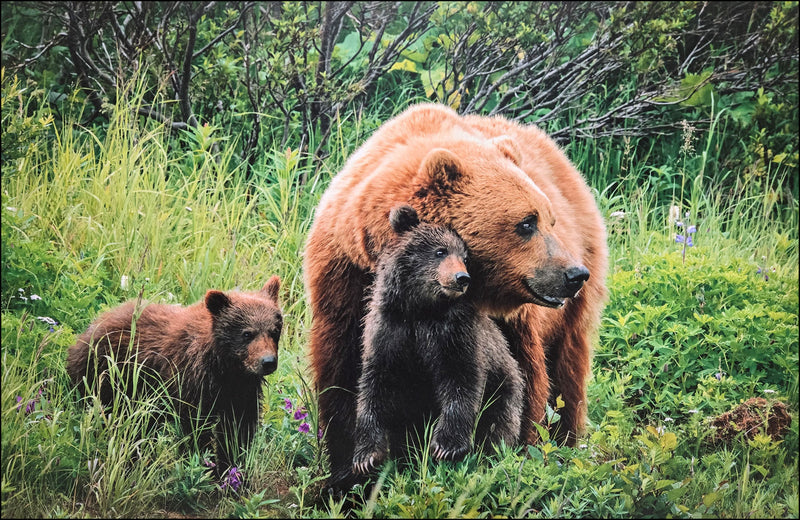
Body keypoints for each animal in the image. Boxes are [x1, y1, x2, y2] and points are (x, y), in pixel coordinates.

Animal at [67, 276, 282, 472]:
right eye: (247, 333)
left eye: (274, 331)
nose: (268, 362)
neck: (225, 367)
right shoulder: (191, 382)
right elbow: (197, 428)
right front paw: (204, 464)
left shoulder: (241, 390)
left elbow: (237, 431)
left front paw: (231, 468)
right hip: (106, 376)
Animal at [354, 205, 520, 474]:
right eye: (440, 251)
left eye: (465, 258)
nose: (462, 278)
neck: (421, 309)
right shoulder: (390, 330)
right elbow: (376, 385)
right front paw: (366, 456)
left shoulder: (455, 332)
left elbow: (461, 379)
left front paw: (446, 446)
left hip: (504, 388)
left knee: (498, 424)